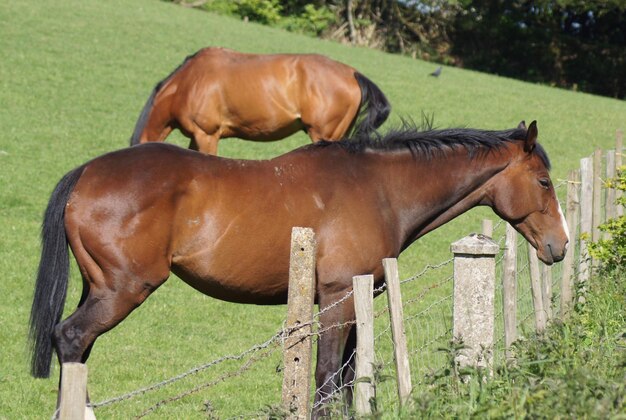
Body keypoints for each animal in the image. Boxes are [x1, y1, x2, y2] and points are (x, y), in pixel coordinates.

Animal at [30, 120, 564, 416]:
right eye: (543, 181)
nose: (559, 245)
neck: (379, 188)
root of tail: (86, 173)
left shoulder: (356, 299)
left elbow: (348, 378)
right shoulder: (336, 300)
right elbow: (327, 377)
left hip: (100, 289)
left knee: (77, 348)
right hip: (123, 290)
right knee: (71, 338)